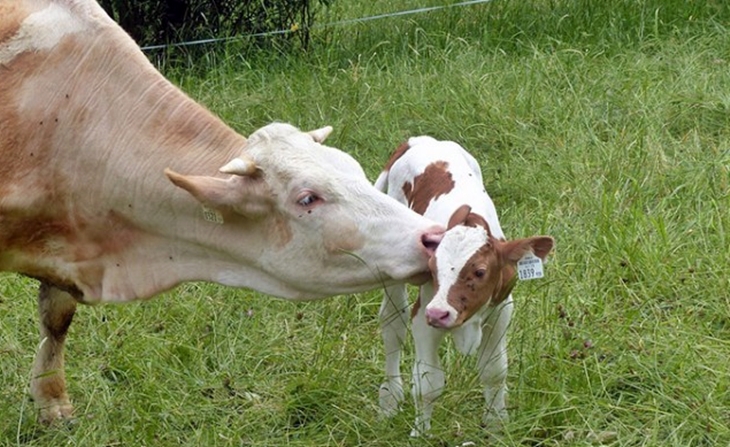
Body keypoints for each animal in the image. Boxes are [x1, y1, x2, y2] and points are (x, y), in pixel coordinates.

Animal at [376, 137, 552, 438]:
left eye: (480, 272)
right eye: (432, 268)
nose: (439, 314)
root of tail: (420, 140)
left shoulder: (501, 310)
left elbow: (494, 371)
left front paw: (496, 425)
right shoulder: (424, 315)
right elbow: (428, 383)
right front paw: (421, 434)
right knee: (393, 324)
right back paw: (390, 398)